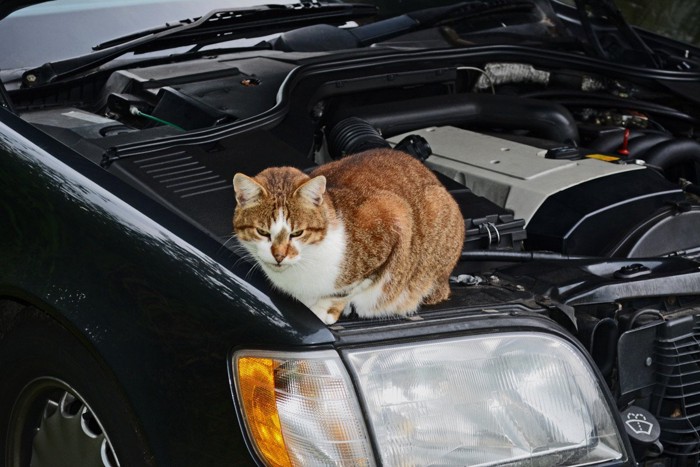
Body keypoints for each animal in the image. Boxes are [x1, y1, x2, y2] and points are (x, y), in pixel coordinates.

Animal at [232, 148, 468, 324]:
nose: (279, 255)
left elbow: (350, 288)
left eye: (297, 233)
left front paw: (324, 310)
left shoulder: (394, 219)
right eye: (262, 232)